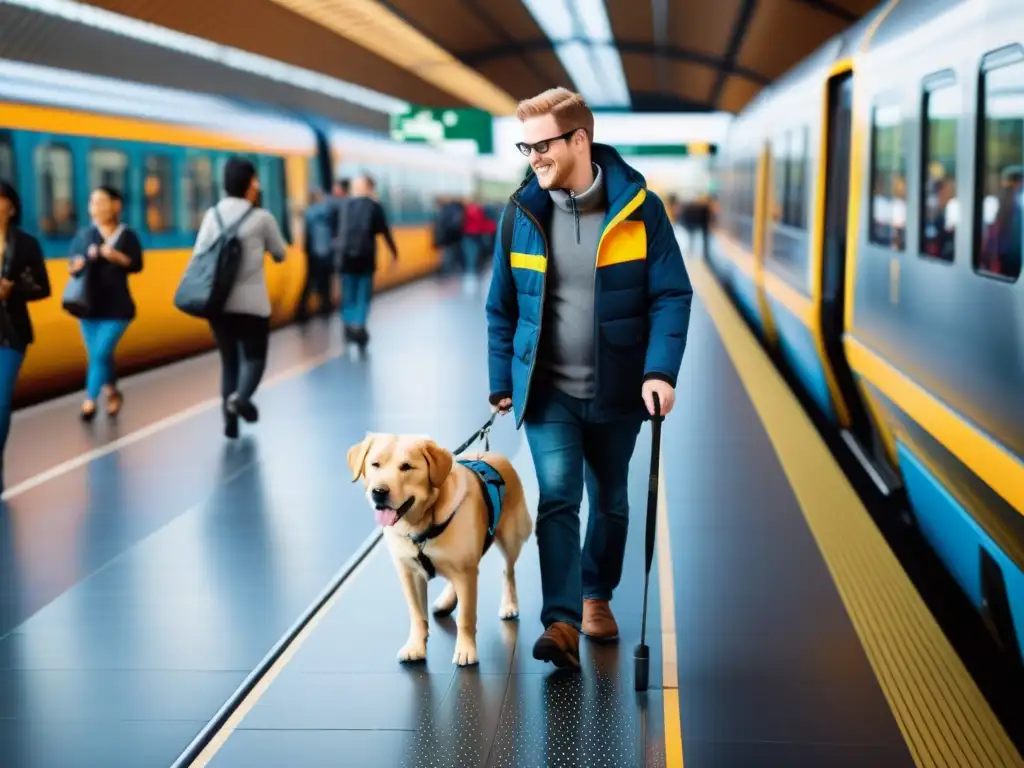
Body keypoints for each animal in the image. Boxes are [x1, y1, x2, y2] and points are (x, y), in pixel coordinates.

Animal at [346, 434, 532, 667]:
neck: (420, 527)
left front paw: (466, 650)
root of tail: (493, 454)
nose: (379, 492)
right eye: (375, 464)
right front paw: (416, 646)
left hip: (510, 537)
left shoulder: (465, 570)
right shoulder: (410, 573)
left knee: (508, 570)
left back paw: (509, 604)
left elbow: (466, 616)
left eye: (407, 467)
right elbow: (417, 614)